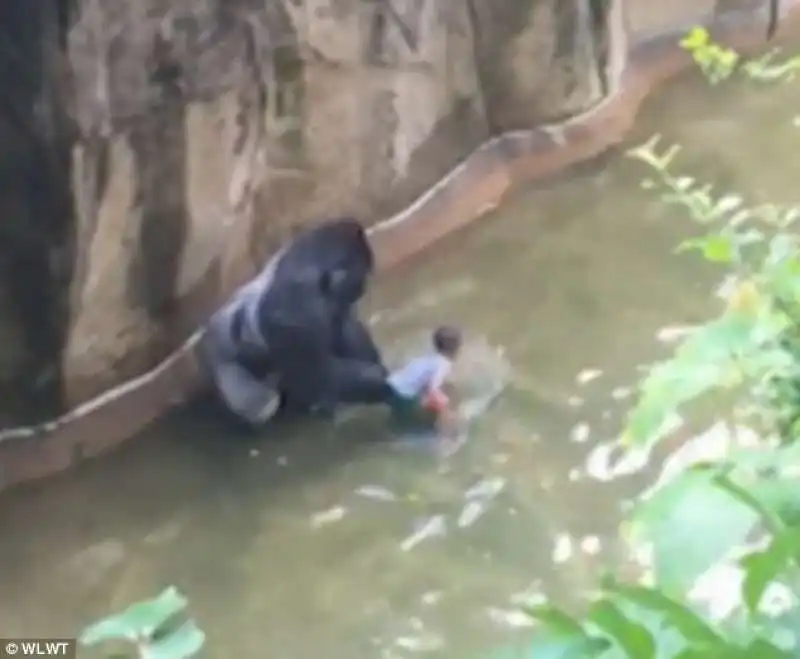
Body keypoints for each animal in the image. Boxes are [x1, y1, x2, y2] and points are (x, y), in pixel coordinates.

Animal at [197, 219, 390, 430]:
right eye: (362, 275)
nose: (363, 287)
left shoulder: (332, 302)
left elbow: (344, 334)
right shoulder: (293, 309)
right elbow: (320, 375)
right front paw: (378, 383)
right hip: (218, 360)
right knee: (261, 405)